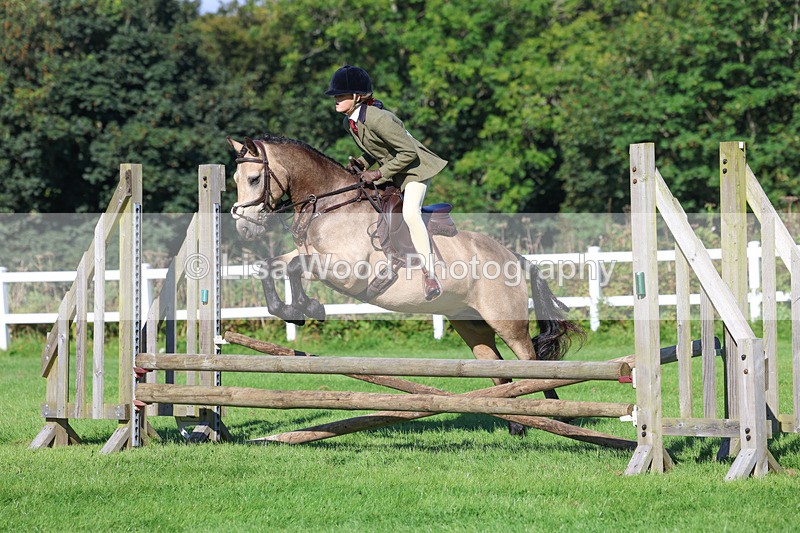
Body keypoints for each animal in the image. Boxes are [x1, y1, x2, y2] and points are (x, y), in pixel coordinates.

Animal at [227, 135, 584, 414]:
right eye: (234, 179)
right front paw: (290, 310)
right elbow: (271, 265)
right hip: (471, 325)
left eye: (254, 179)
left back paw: (559, 416)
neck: (331, 206)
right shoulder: (309, 255)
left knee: (532, 365)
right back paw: (516, 425)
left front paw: (308, 307)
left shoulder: (346, 269)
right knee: (499, 372)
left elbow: (292, 268)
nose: (244, 229)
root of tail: (512, 256)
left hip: (507, 323)